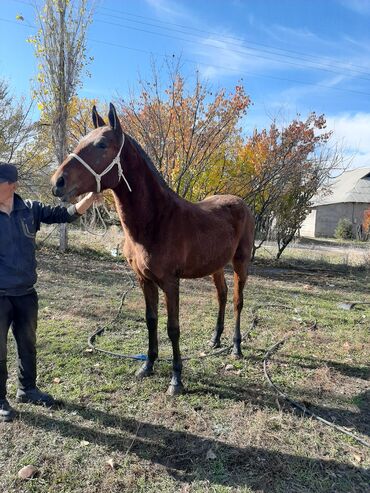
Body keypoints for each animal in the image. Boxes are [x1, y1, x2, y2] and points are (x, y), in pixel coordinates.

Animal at [51, 104, 254, 396]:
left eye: (102, 144)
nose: (58, 182)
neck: (157, 220)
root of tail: (240, 203)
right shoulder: (144, 280)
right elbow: (151, 320)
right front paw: (147, 365)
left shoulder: (170, 282)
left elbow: (173, 328)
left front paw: (176, 379)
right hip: (216, 265)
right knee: (222, 296)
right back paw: (215, 340)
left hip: (240, 263)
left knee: (237, 300)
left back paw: (236, 347)